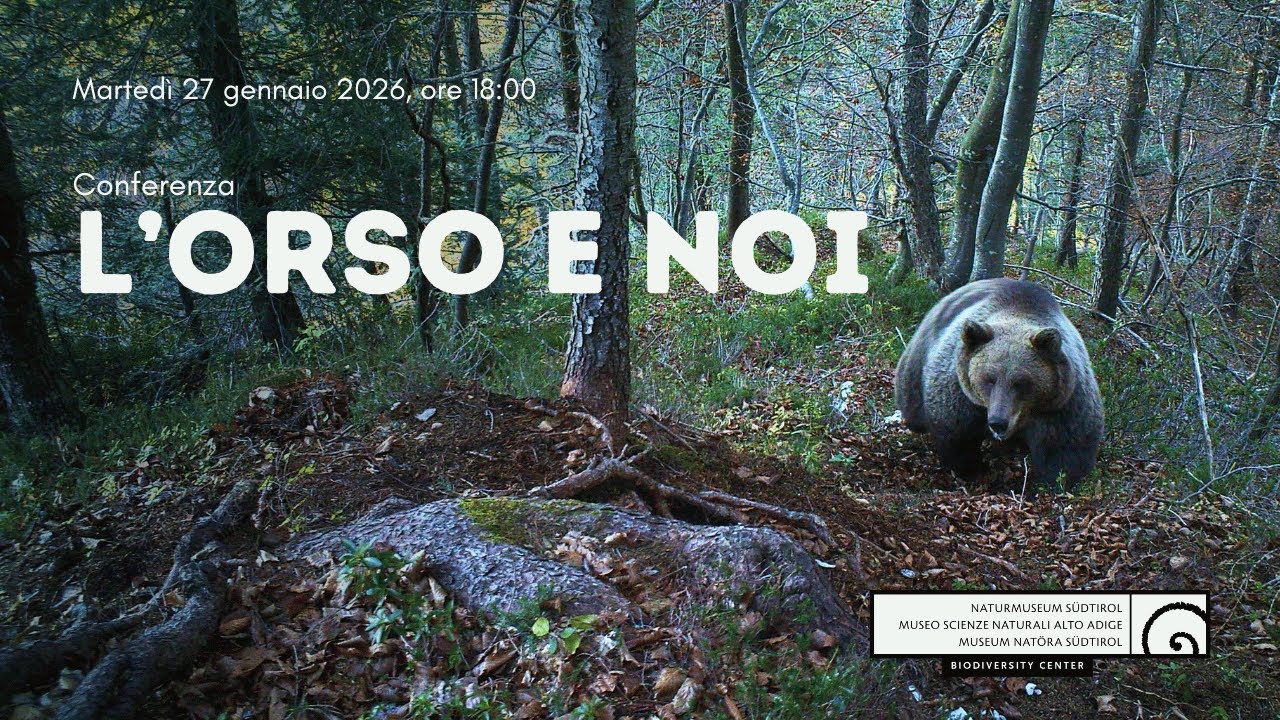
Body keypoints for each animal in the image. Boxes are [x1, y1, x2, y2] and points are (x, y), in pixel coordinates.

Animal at [894, 278, 1104, 490]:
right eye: (989, 379)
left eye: (1021, 382)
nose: (998, 423)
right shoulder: (961, 393)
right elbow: (957, 433)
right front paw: (970, 469)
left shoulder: (1062, 404)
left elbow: (1065, 450)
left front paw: (1058, 482)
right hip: (917, 362)